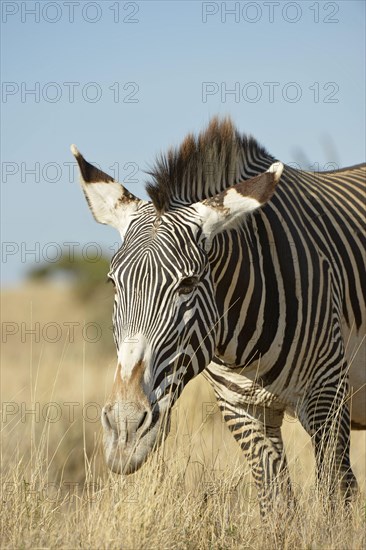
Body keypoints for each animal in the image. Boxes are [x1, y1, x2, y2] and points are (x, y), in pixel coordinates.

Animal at [70, 117, 364, 516]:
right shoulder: (242, 410)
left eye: (188, 284)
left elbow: (338, 501)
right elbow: (276, 505)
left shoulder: (328, 397)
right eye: (113, 283)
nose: (125, 430)